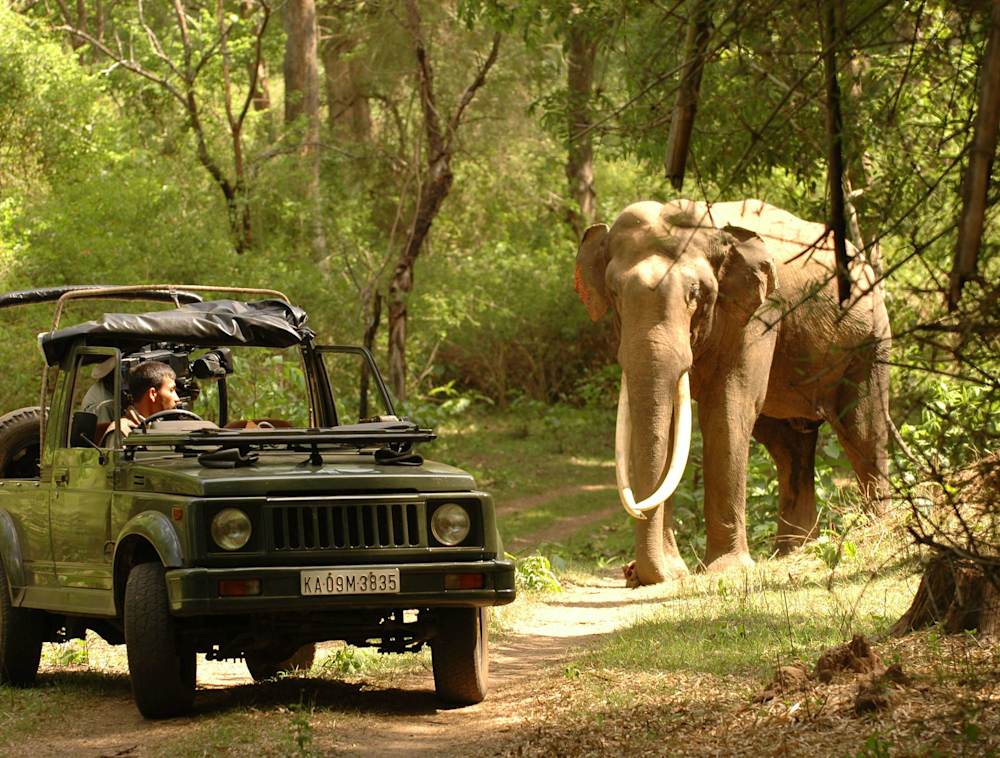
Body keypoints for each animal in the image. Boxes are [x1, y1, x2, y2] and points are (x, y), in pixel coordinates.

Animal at [575, 199, 891, 586]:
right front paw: (674, 571)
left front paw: (725, 569)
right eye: (615, 295)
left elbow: (728, 406)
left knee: (861, 428)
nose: (633, 572)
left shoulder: (759, 313)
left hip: (869, 341)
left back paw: (875, 530)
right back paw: (793, 551)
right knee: (789, 446)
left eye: (694, 295)